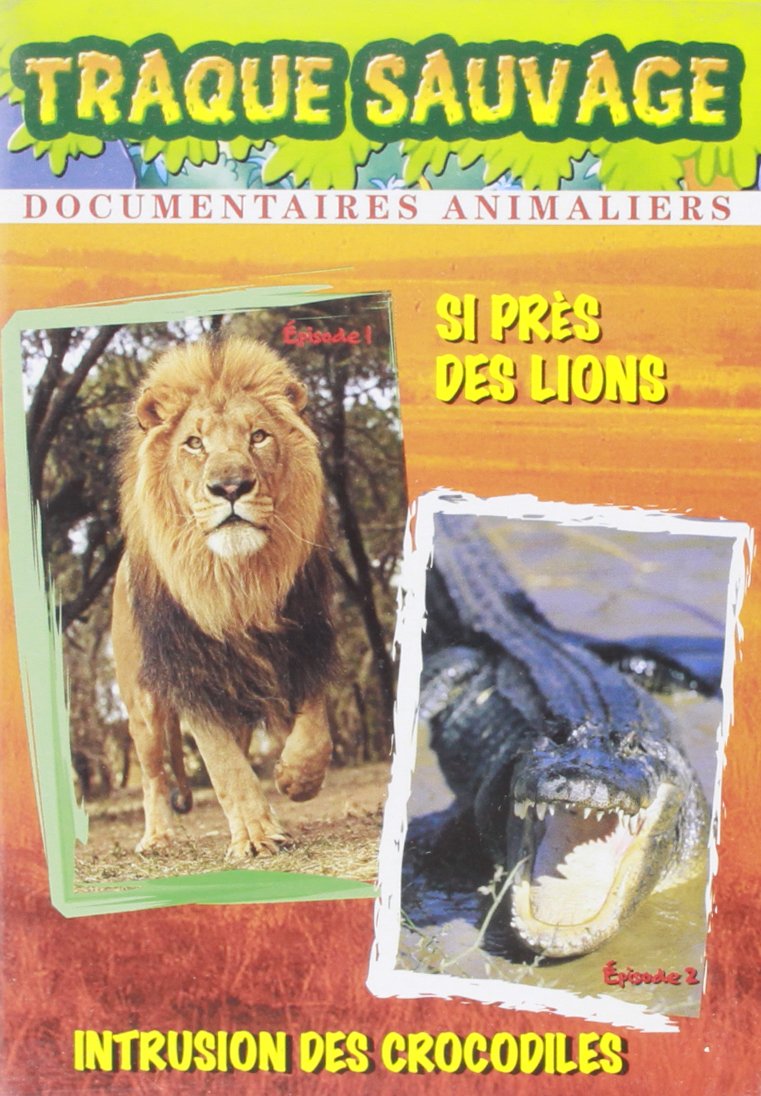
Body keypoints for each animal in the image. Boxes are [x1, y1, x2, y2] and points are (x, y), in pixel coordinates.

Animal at [111, 335, 336, 860]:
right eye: (194, 443)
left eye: (258, 436)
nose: (230, 486)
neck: (238, 585)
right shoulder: (192, 671)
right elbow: (223, 763)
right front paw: (256, 835)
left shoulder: (307, 640)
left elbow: (316, 729)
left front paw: (295, 778)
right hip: (143, 705)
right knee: (154, 774)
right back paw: (157, 836)